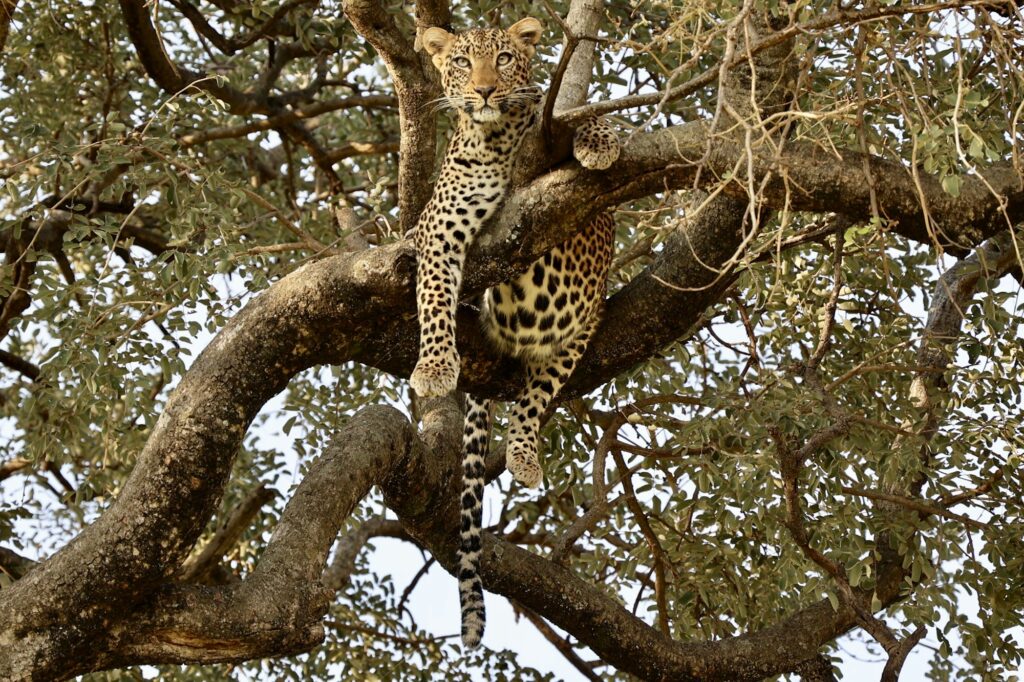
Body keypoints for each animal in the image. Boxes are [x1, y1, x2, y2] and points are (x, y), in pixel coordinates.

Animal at [411, 17, 619, 648]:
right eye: (460, 62)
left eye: (504, 58)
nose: (483, 91)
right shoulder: (437, 230)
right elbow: (433, 300)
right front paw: (434, 368)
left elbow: (577, 120)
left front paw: (600, 140)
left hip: (582, 326)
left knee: (536, 397)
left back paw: (525, 455)